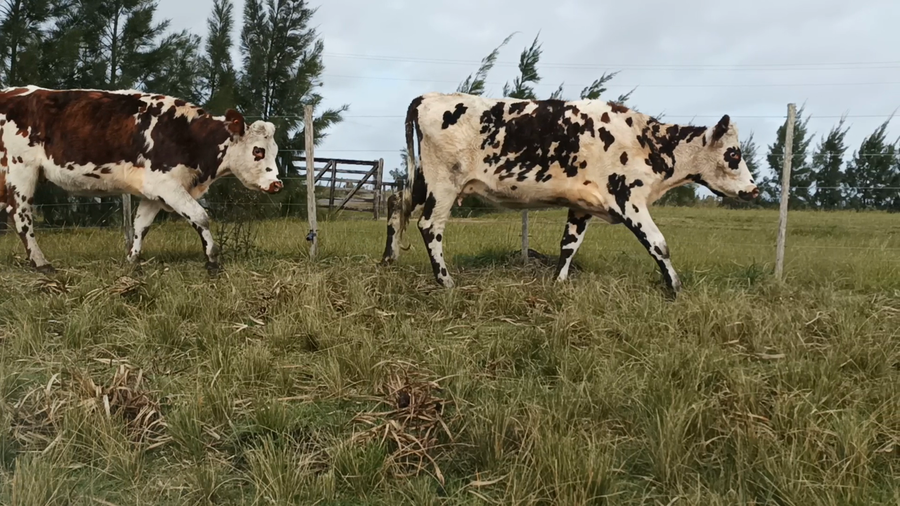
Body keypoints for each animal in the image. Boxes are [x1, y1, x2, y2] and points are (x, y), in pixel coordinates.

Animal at [0, 85, 282, 273]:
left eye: (275, 151)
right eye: (258, 151)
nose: (277, 183)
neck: (188, 134)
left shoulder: (154, 192)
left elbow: (140, 225)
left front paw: (132, 261)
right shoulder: (167, 184)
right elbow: (200, 216)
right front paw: (212, 260)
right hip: (21, 169)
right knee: (21, 216)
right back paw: (41, 263)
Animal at [381, 92, 758, 295]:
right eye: (734, 154)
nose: (754, 189)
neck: (647, 141)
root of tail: (429, 97)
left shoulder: (583, 204)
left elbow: (569, 245)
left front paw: (559, 282)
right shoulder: (629, 199)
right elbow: (659, 244)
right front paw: (675, 288)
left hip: (423, 180)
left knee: (397, 202)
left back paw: (388, 259)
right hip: (443, 183)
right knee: (430, 226)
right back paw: (445, 282)